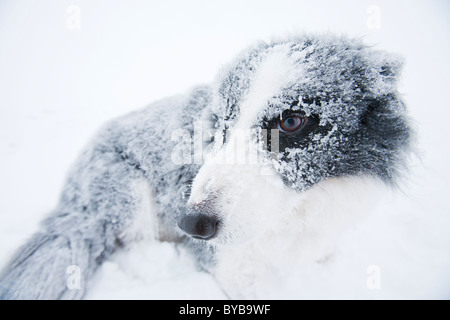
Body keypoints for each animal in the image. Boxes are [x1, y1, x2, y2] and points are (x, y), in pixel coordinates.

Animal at [0, 35, 412, 300]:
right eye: (221, 124)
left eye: (292, 121)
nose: (192, 223)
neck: (297, 210)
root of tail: (72, 199)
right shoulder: (232, 266)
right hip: (130, 198)